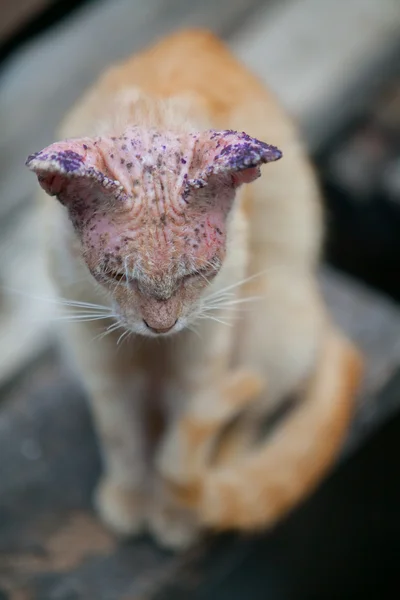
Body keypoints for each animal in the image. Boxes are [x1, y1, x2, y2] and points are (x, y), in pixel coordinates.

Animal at [25, 30, 362, 552]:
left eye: (196, 273)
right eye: (118, 275)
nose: (160, 326)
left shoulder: (204, 346)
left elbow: (190, 425)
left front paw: (174, 513)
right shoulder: (95, 347)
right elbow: (120, 432)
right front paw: (130, 496)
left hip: (273, 319)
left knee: (249, 414)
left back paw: (222, 473)